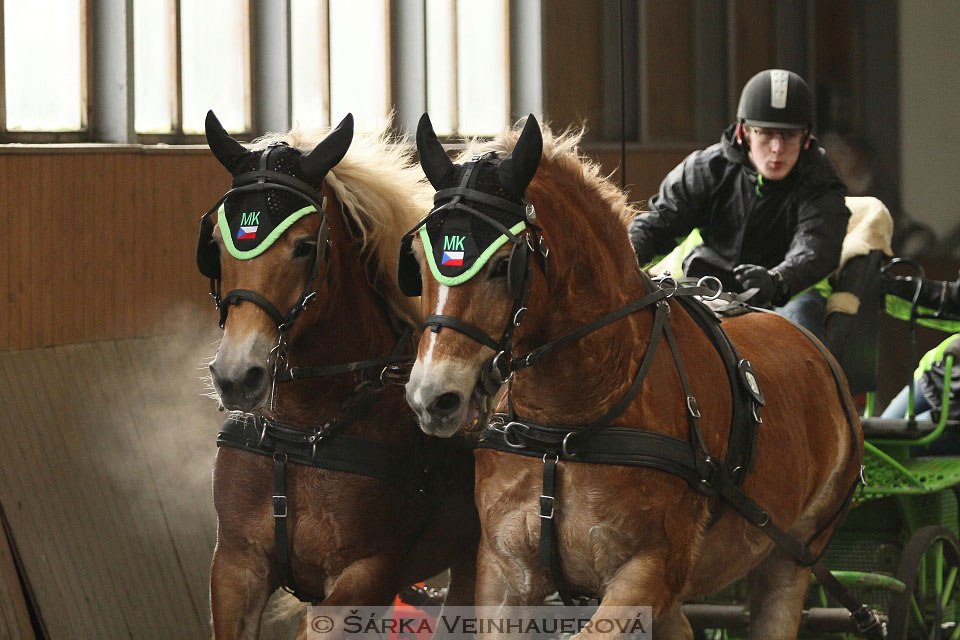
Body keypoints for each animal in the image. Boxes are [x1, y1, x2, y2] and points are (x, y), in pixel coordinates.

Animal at [200, 112, 480, 636]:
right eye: (216, 244)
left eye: (305, 247)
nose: (236, 376)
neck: (300, 432)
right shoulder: (235, 565)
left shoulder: (367, 573)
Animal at [402, 116, 868, 640]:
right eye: (417, 261)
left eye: (504, 266)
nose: (432, 397)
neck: (567, 427)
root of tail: (821, 357)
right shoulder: (504, 572)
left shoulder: (647, 572)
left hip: (791, 557)